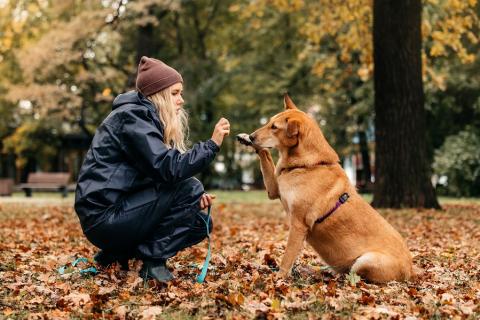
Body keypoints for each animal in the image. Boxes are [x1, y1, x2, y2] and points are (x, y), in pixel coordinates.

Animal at [239, 94, 416, 282]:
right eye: (268, 122)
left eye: (274, 127)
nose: (252, 136)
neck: (308, 164)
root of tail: (411, 271)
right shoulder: (274, 190)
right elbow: (265, 155)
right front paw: (247, 140)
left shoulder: (298, 225)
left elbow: (287, 257)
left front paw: (279, 277)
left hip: (364, 260)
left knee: (354, 277)